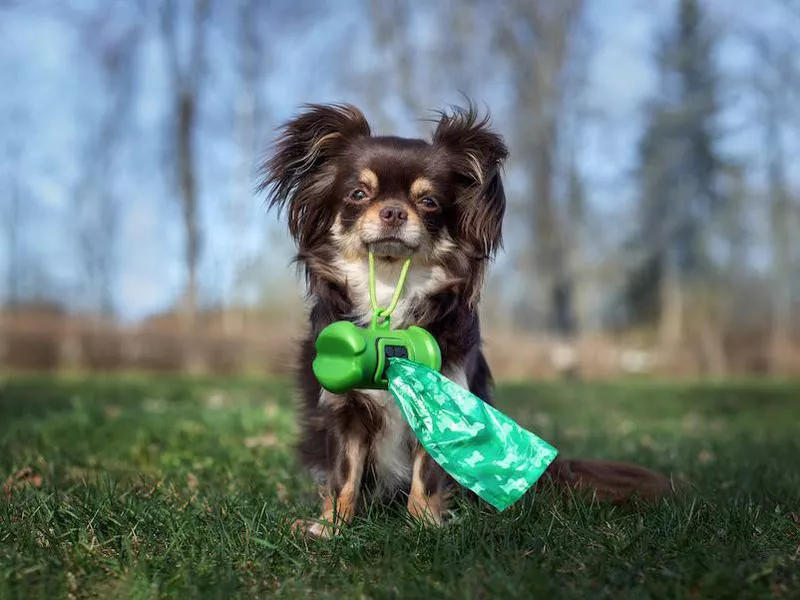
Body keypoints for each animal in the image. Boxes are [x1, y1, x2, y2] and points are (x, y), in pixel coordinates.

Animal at [260, 103, 672, 540]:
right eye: (358, 194)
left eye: (428, 202)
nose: (393, 211)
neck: (390, 287)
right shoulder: (346, 411)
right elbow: (344, 475)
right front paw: (331, 527)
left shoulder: (445, 398)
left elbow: (427, 475)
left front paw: (425, 524)